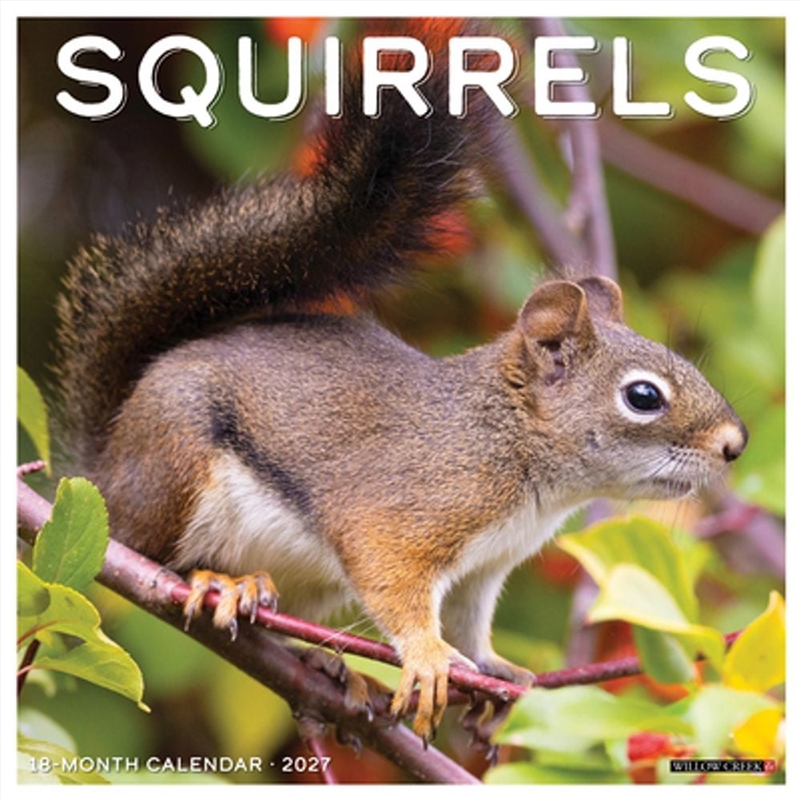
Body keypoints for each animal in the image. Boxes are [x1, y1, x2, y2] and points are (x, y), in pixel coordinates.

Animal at [54, 21, 748, 742]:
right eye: (643, 396)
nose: (734, 444)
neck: (515, 449)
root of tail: (104, 461)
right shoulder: (404, 515)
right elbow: (396, 584)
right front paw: (427, 657)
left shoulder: (483, 570)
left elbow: (470, 626)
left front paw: (501, 674)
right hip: (176, 465)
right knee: (151, 551)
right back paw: (223, 583)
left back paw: (324, 664)